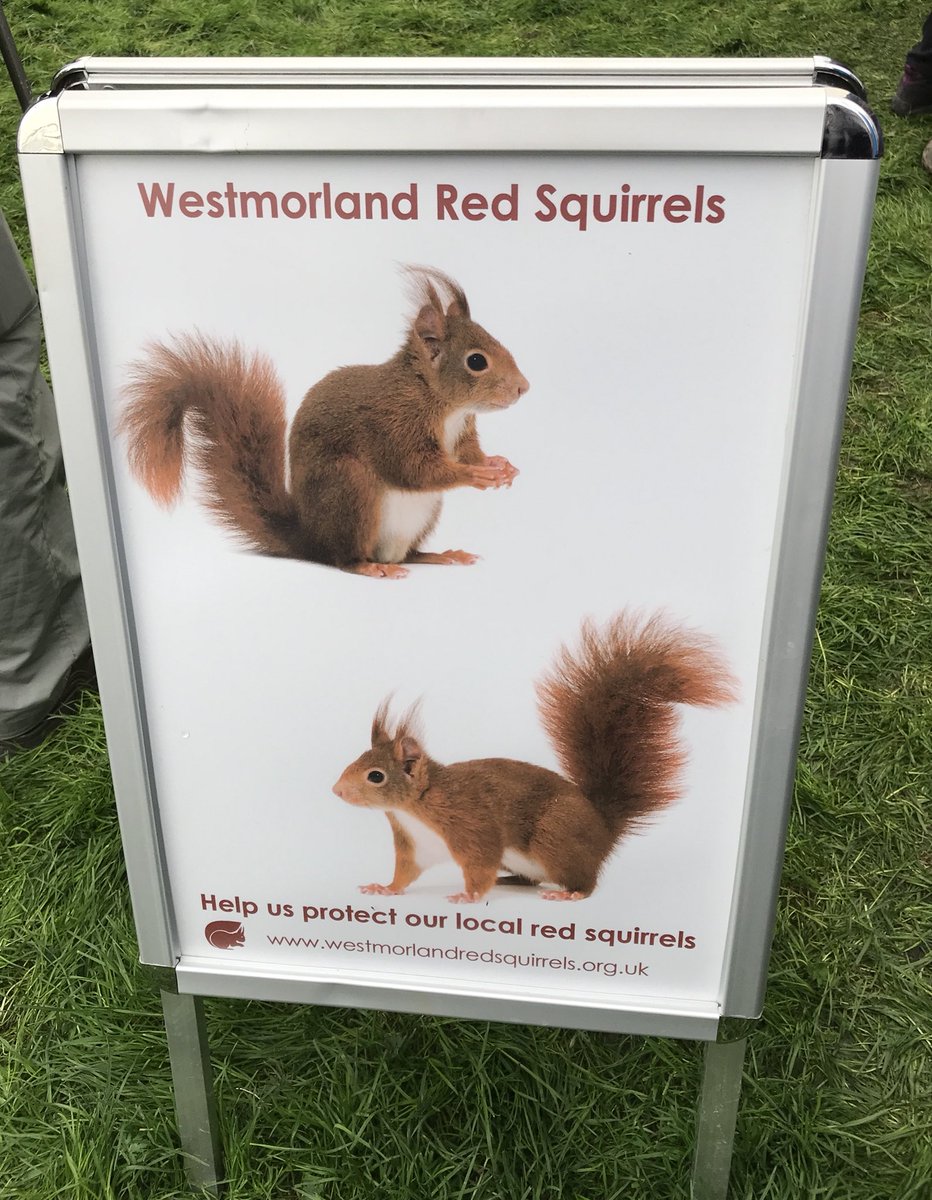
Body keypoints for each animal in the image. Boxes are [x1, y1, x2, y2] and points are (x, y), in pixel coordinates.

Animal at [119, 266, 529, 579]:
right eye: (476, 361)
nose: (524, 388)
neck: (443, 404)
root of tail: (311, 539)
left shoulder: (462, 433)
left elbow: (468, 453)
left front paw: (498, 464)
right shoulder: (393, 424)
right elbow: (413, 469)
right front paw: (476, 475)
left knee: (408, 554)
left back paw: (438, 555)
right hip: (350, 490)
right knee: (342, 558)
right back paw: (369, 566)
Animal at [332, 610, 738, 903]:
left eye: (375, 776)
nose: (336, 791)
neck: (415, 808)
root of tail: (603, 829)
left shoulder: (470, 826)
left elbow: (480, 865)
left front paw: (468, 896)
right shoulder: (416, 846)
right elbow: (406, 874)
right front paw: (384, 888)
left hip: (554, 838)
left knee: (586, 879)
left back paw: (570, 893)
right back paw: (511, 880)